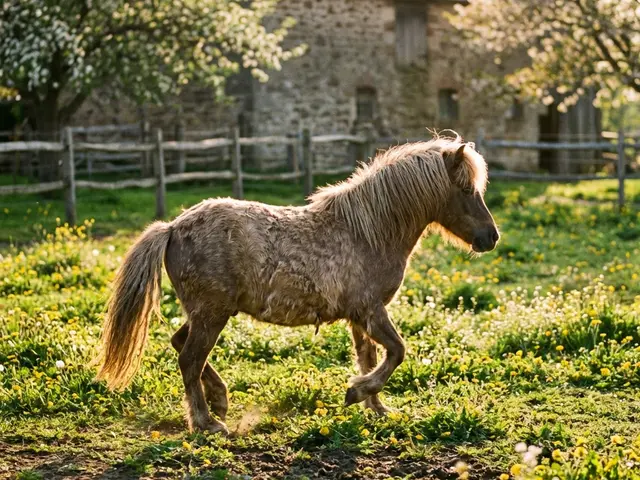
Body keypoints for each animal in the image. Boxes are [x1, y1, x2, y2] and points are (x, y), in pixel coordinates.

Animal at [95, 134, 499, 434]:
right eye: (466, 190)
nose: (491, 237)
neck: (367, 232)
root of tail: (173, 227)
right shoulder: (370, 311)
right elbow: (397, 352)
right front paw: (357, 393)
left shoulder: (360, 317)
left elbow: (370, 357)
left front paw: (377, 407)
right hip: (211, 313)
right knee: (189, 359)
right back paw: (206, 423)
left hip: (206, 312)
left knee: (181, 344)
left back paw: (221, 400)